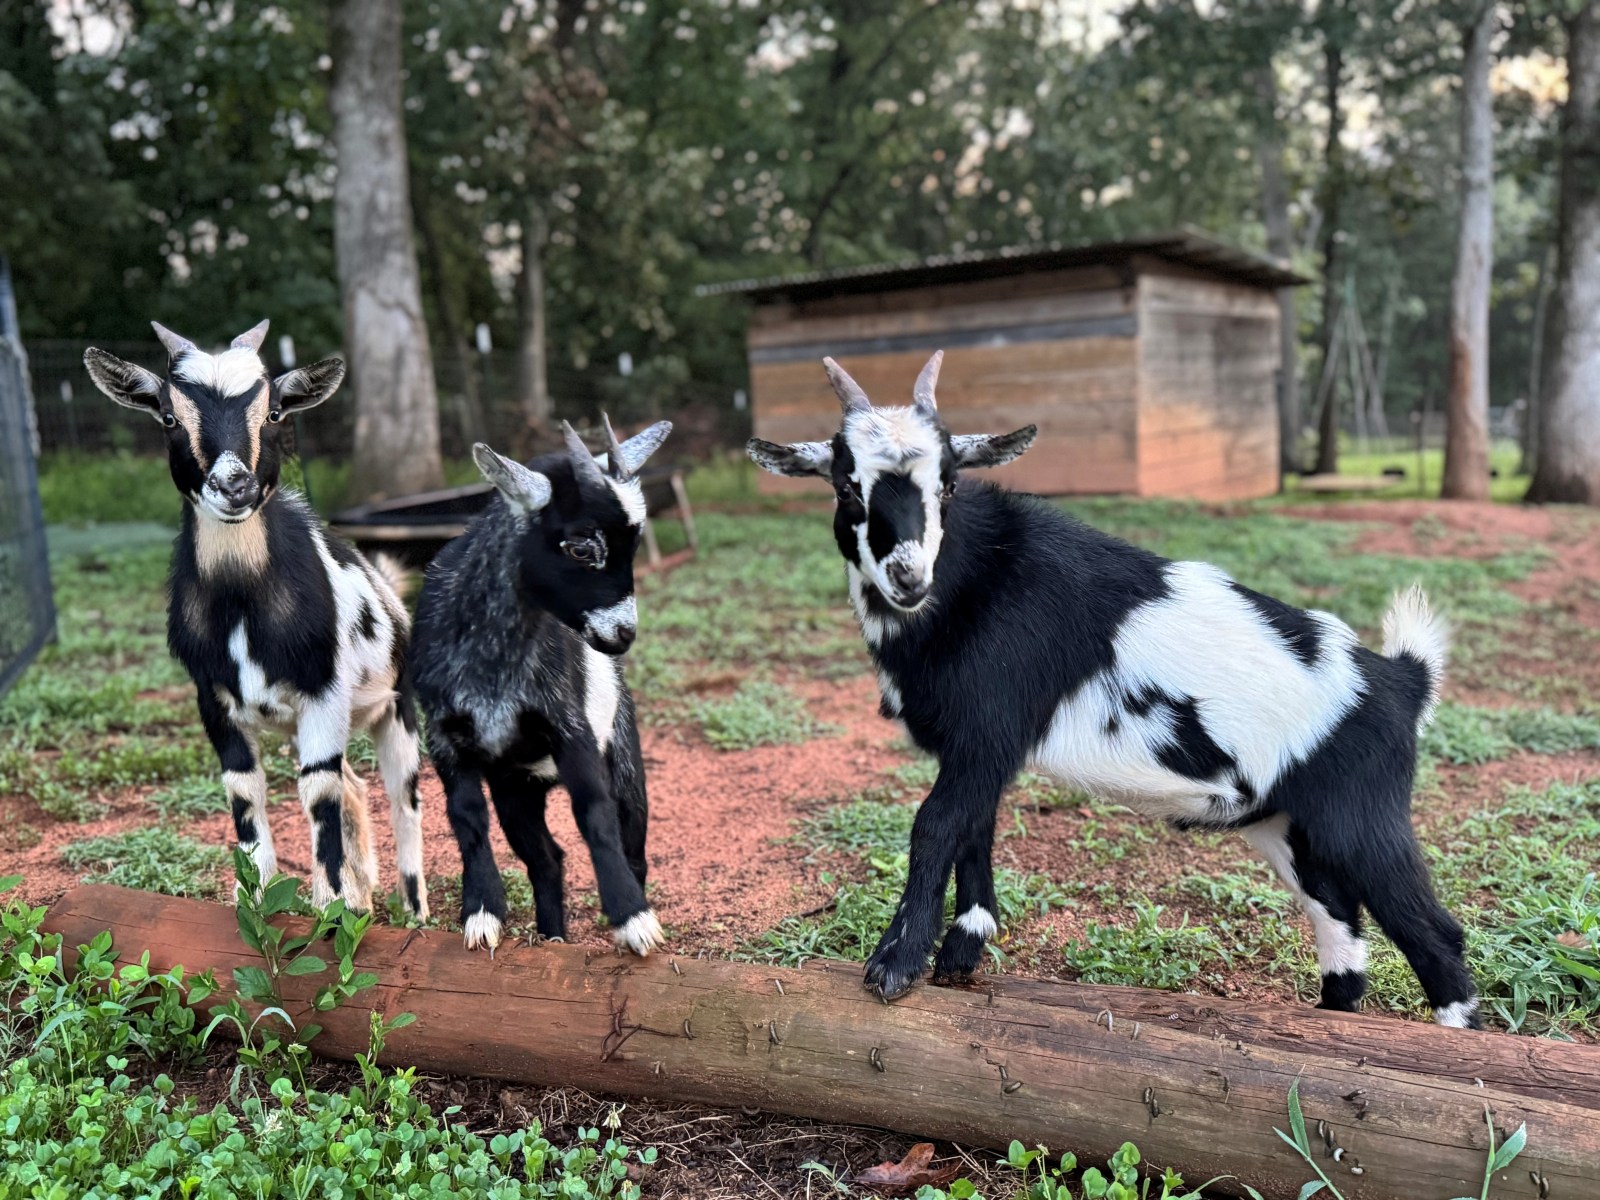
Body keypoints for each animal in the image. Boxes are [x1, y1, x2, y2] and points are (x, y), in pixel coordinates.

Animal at [84, 321, 427, 918]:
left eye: (274, 412)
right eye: (169, 417)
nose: (234, 486)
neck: (242, 600)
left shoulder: (323, 692)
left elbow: (318, 793)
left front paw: (331, 911)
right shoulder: (213, 699)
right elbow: (245, 791)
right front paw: (258, 903)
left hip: (395, 703)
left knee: (401, 795)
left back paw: (415, 909)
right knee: (354, 785)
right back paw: (366, 894)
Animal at [411, 419, 671, 954]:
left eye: (634, 546)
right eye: (581, 547)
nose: (624, 633)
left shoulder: (568, 726)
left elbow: (594, 813)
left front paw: (632, 918)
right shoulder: (444, 736)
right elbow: (466, 817)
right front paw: (482, 912)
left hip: (624, 758)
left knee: (633, 843)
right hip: (516, 790)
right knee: (546, 858)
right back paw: (553, 938)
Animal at [747, 352, 1481, 1029]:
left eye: (949, 484)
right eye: (847, 487)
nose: (907, 576)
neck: (975, 583)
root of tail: (1401, 680)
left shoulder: (989, 729)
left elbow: (936, 825)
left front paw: (895, 964)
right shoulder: (982, 748)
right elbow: (973, 829)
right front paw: (962, 950)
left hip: (1363, 817)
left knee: (1434, 936)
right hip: (1283, 822)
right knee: (1339, 918)